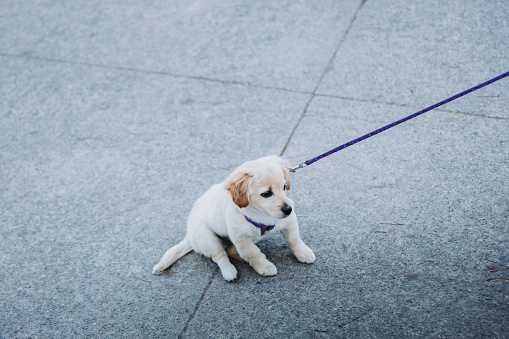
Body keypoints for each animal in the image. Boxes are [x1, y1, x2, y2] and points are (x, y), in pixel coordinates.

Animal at [153, 157, 316, 282]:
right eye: (266, 194)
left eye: (284, 187)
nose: (288, 209)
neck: (263, 215)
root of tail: (190, 236)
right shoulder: (241, 238)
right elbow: (253, 253)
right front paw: (264, 266)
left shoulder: (289, 221)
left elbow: (294, 239)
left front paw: (303, 253)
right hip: (207, 238)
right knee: (221, 255)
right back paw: (229, 271)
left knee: (231, 250)